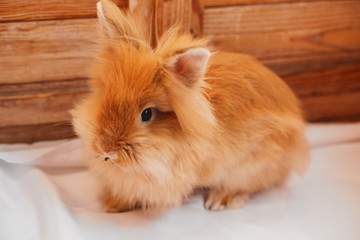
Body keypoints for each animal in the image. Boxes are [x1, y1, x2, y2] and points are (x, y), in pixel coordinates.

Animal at [71, 0, 310, 213]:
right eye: (105, 94)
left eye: (146, 114)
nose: (105, 149)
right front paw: (113, 204)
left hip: (251, 166)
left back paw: (220, 200)